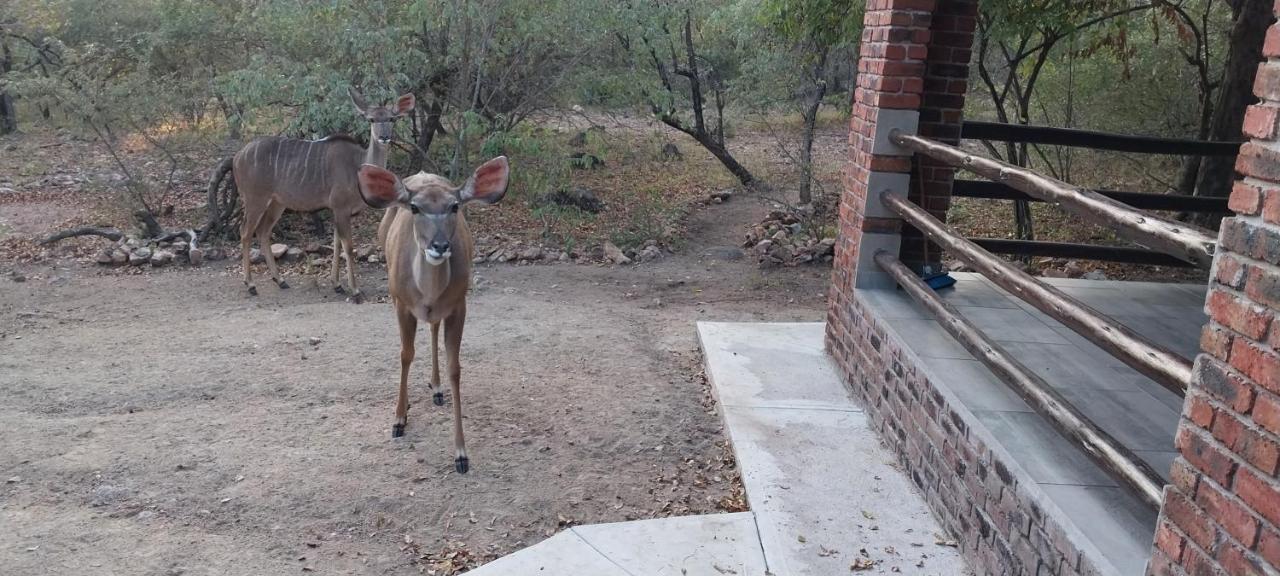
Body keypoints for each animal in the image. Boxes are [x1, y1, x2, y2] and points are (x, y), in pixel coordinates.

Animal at [227, 88, 412, 302]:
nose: (384, 137)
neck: (358, 166)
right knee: (245, 232)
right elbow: (348, 247)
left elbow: (337, 244)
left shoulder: (339, 211)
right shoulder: (340, 207)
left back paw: (280, 280)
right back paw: (250, 285)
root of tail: (237, 157)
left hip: (277, 203)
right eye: (372, 119)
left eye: (392, 118)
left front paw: (337, 285)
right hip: (254, 199)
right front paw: (355, 290)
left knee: (263, 231)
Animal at [358, 156, 512, 473]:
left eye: (454, 206)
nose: (440, 246)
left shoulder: (459, 304)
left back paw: (437, 388)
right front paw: (399, 419)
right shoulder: (402, 303)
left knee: (433, 326)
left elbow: (456, 368)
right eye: (415, 208)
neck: (426, 293)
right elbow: (405, 354)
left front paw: (461, 454)